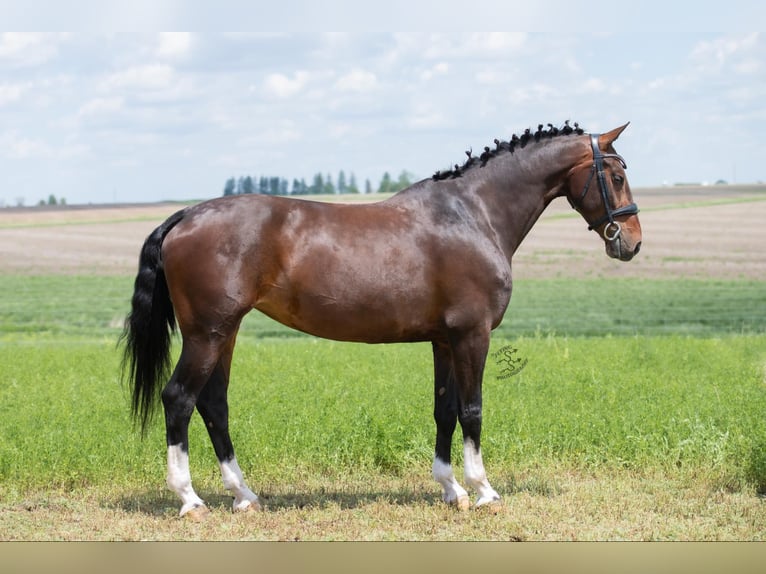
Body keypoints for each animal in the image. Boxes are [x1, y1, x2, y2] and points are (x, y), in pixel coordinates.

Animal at [121, 121, 642, 519]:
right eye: (616, 174)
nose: (631, 242)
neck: (471, 215)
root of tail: (187, 215)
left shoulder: (444, 340)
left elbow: (444, 409)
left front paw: (451, 490)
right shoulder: (471, 335)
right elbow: (472, 409)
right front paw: (483, 491)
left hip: (223, 334)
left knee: (214, 404)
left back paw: (243, 495)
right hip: (207, 334)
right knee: (179, 399)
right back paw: (190, 500)